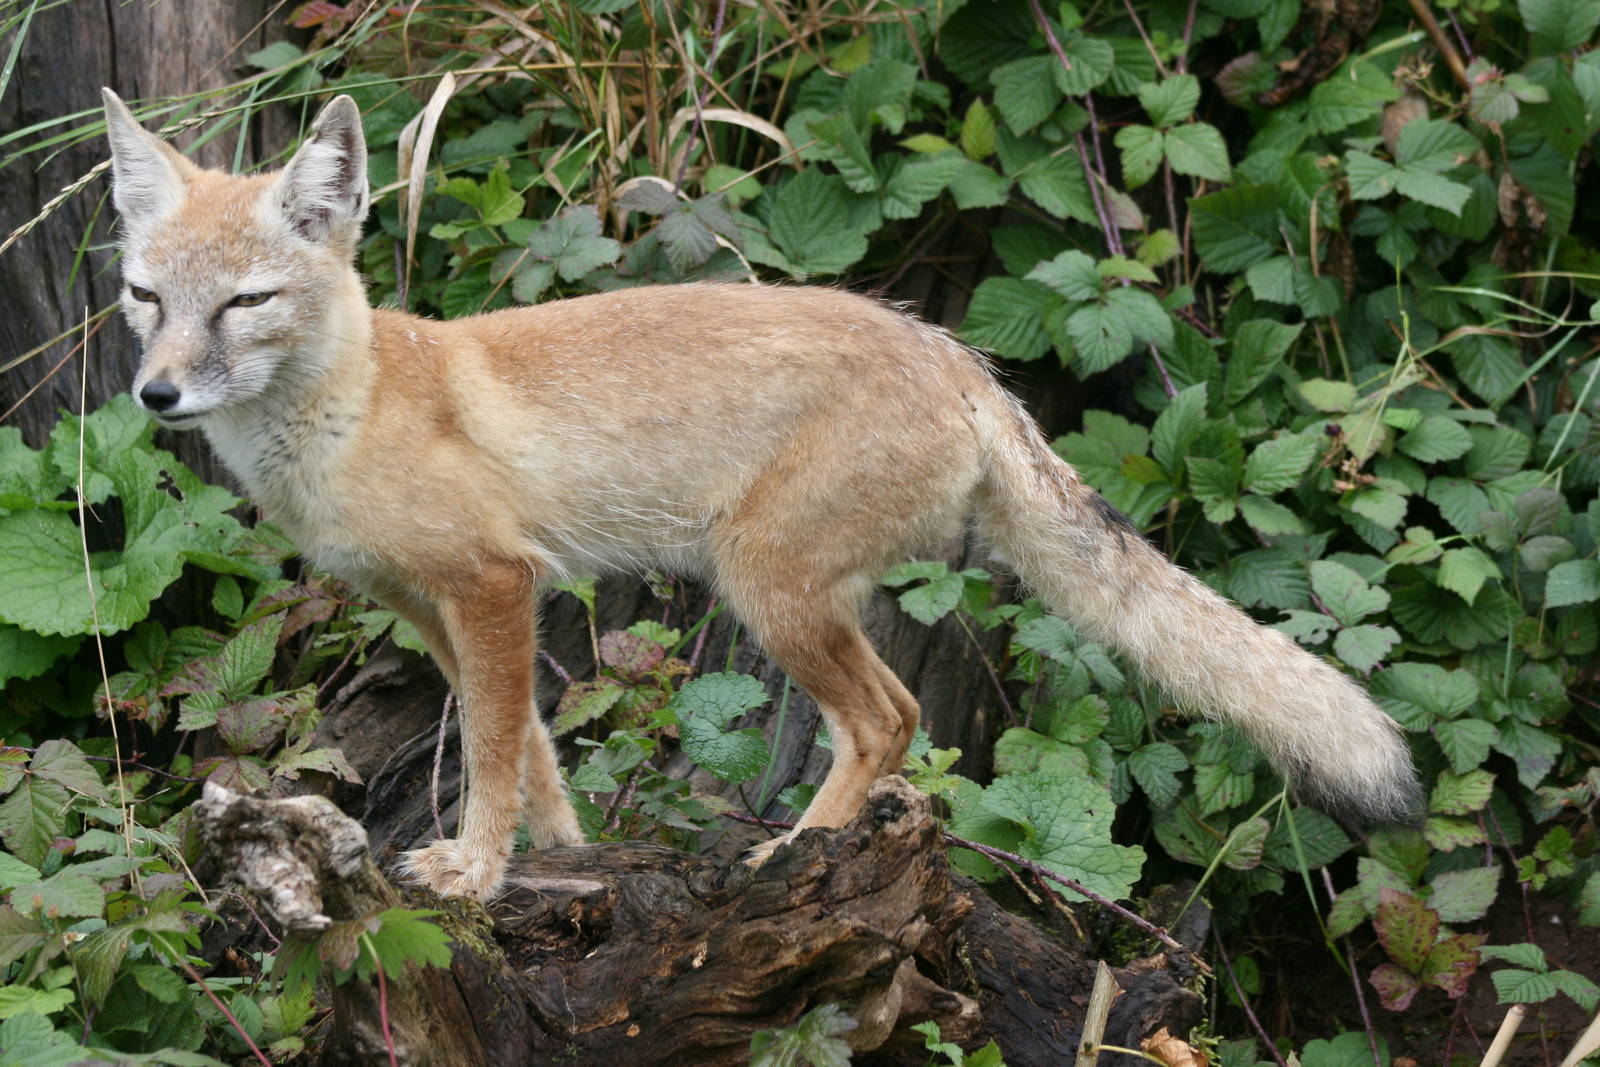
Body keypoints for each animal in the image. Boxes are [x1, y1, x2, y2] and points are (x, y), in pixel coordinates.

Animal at [100, 89, 1420, 900]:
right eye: (145, 297)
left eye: (246, 304)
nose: (157, 395)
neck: (352, 412)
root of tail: (952, 351)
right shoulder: (435, 610)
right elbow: (531, 750)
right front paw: (566, 858)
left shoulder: (494, 586)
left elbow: (489, 753)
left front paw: (475, 873)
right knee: (891, 720)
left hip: (766, 586)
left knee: (890, 718)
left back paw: (794, 855)